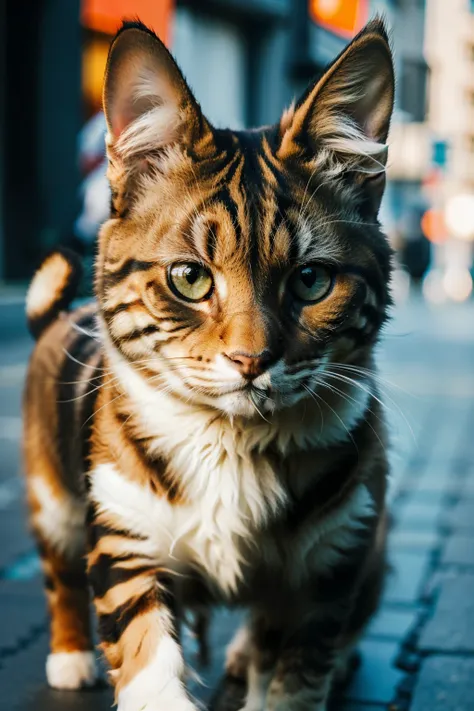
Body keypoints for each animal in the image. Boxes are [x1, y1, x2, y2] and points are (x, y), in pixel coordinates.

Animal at [25, 16, 396, 711]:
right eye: (190, 278)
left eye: (310, 280)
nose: (251, 359)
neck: (232, 445)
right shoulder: (124, 538)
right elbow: (146, 659)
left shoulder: (327, 566)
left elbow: (294, 673)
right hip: (52, 496)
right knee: (59, 574)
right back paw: (69, 657)